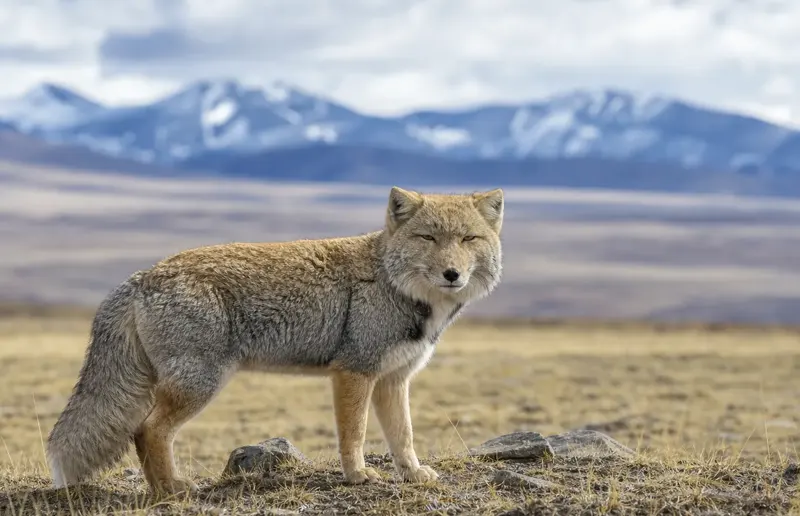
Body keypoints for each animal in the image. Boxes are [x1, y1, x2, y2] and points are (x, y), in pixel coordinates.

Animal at [46, 186, 504, 495]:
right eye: (428, 238)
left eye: (468, 239)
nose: (452, 274)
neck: (395, 285)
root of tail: (143, 275)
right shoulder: (354, 372)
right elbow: (354, 433)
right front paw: (357, 475)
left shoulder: (393, 378)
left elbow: (403, 435)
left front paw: (412, 473)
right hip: (199, 384)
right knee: (147, 431)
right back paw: (171, 489)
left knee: (145, 432)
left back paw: (166, 486)